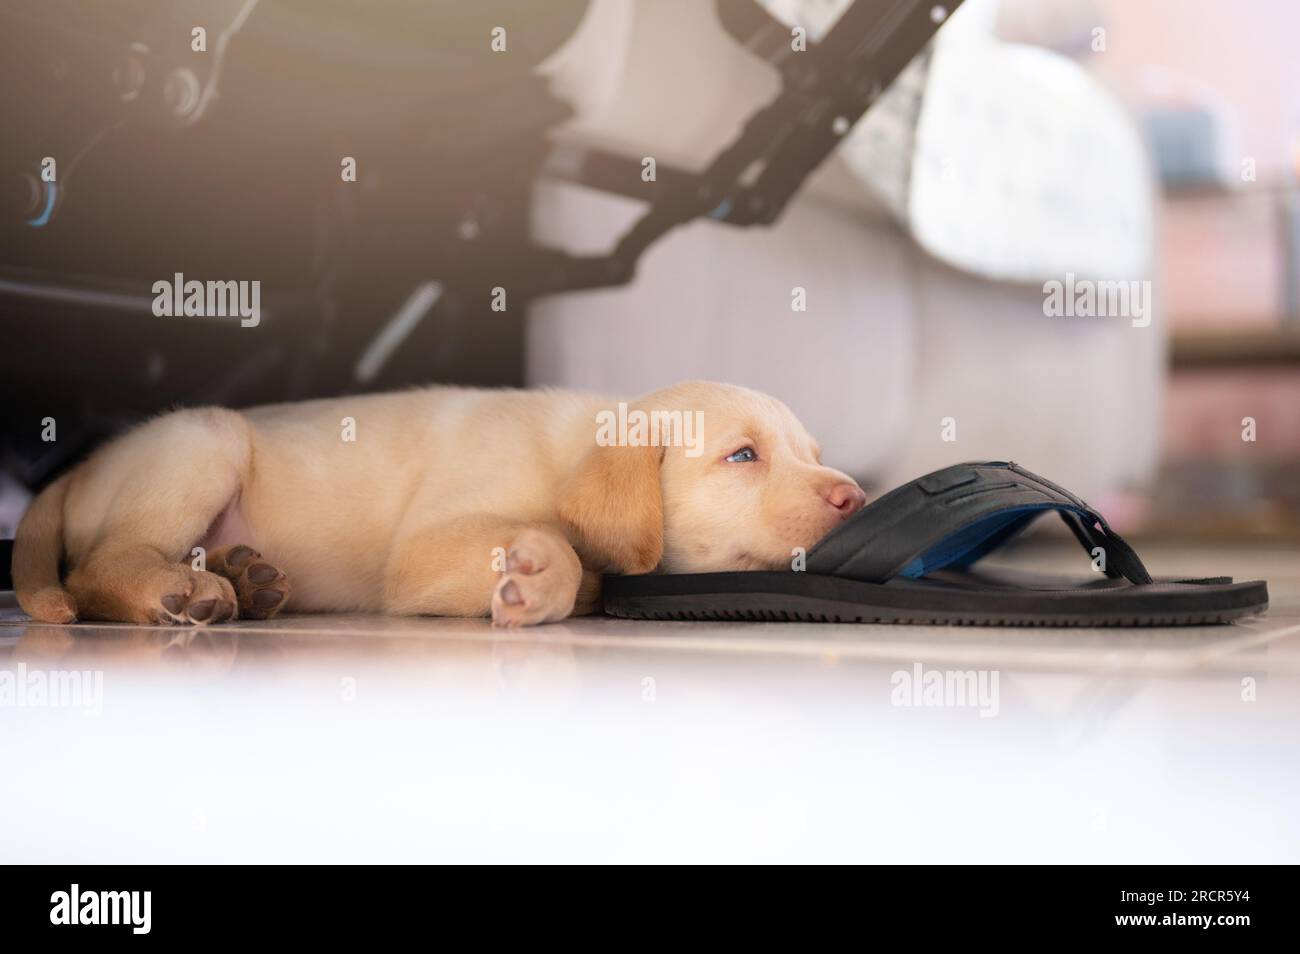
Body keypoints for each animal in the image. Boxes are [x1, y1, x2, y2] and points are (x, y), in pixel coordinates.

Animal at [12, 382, 863, 629]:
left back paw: (249, 580)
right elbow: (563, 556)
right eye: (743, 456)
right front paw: (537, 577)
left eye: (813, 453)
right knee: (97, 569)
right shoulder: (424, 550)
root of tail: (81, 466)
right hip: (204, 443)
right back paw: (179, 587)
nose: (854, 496)